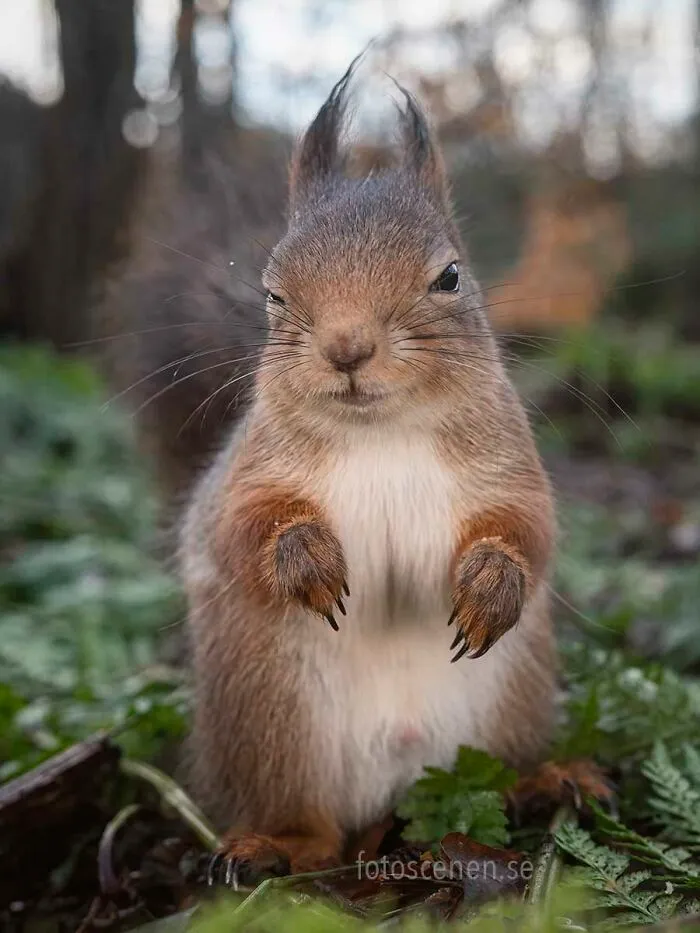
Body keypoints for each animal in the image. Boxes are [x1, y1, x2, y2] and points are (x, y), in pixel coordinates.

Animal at [102, 61, 557, 878]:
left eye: (450, 276)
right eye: (272, 291)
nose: (347, 347)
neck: (382, 431)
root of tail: (399, 781)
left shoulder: (510, 464)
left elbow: (530, 527)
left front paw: (493, 584)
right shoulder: (248, 471)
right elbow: (240, 528)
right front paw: (305, 559)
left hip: (512, 708)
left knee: (499, 774)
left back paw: (545, 783)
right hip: (274, 723)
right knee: (307, 825)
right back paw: (274, 846)